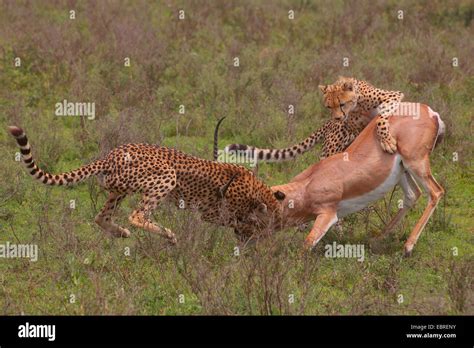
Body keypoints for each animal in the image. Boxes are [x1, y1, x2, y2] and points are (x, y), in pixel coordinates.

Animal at [7, 121, 284, 243]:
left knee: (101, 217)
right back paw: (168, 235)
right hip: (165, 177)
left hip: (118, 189)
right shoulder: (212, 213)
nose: (276, 230)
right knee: (137, 216)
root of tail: (110, 154)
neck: (257, 191)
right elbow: (239, 221)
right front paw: (253, 234)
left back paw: (120, 232)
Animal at [224, 77, 402, 161]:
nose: (338, 118)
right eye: (329, 107)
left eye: (342, 104)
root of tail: (328, 124)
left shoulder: (394, 95)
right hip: (331, 149)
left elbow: (380, 117)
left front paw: (386, 140)